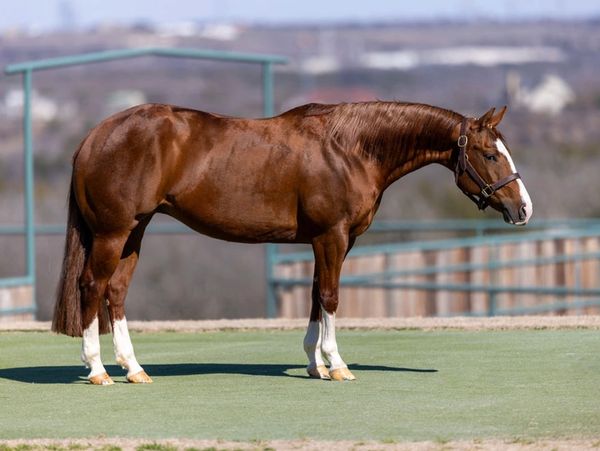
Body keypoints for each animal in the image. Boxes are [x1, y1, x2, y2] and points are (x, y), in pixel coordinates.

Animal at [52, 101, 532, 385]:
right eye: (491, 154)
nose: (523, 208)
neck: (349, 148)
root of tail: (94, 136)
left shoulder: (329, 241)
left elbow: (316, 297)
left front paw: (314, 363)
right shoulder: (332, 236)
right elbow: (331, 297)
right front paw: (337, 365)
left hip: (135, 230)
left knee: (116, 291)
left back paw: (134, 369)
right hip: (113, 233)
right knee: (92, 287)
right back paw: (97, 370)